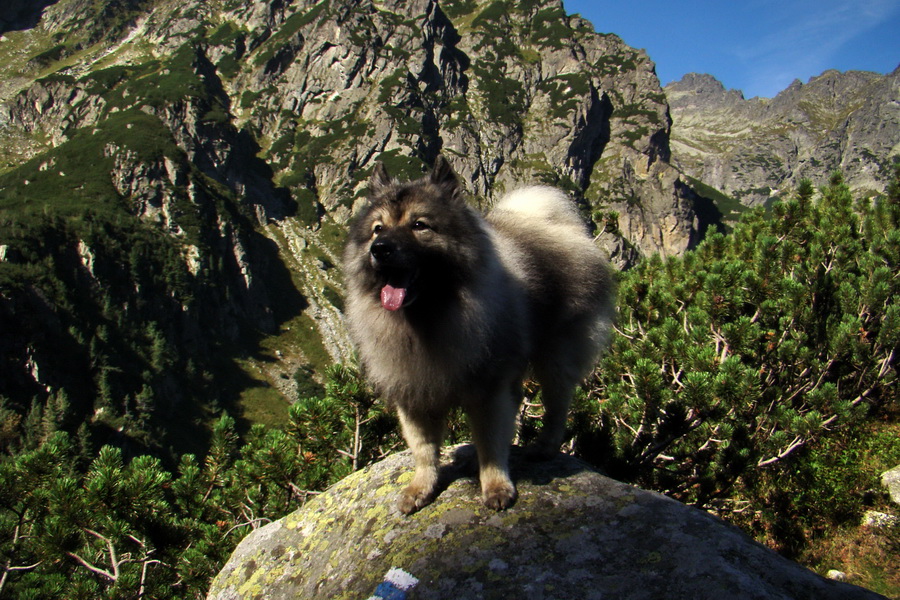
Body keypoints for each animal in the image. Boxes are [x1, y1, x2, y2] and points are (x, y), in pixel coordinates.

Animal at [342, 154, 616, 510]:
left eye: (419, 225)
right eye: (378, 228)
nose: (380, 248)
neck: (428, 315)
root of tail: (560, 227)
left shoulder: (489, 390)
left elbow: (490, 443)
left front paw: (496, 486)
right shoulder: (413, 392)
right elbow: (424, 450)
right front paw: (421, 487)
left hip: (555, 356)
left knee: (557, 405)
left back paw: (544, 448)